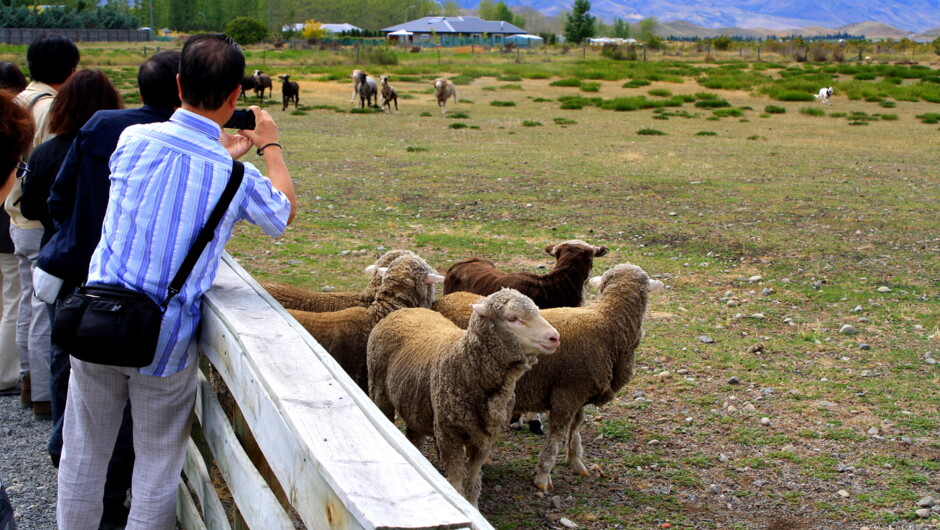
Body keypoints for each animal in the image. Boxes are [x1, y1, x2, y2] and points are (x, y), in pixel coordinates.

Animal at [368, 286, 560, 506]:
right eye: (512, 318)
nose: (555, 337)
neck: (465, 363)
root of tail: (404, 310)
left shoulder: (484, 437)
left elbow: (473, 478)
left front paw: (473, 505)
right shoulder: (449, 434)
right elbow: (458, 477)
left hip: (414, 402)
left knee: (414, 434)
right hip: (379, 392)